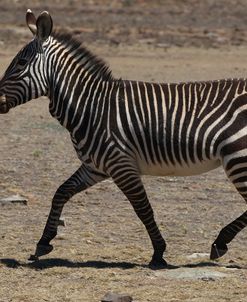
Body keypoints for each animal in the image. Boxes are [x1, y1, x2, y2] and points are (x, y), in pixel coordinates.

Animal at [0, 9, 246, 268]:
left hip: (238, 158)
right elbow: (61, 192)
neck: (91, 106)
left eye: (21, 63)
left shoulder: (121, 164)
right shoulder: (96, 166)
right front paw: (44, 241)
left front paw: (158, 252)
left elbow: (143, 209)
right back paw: (221, 242)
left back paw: (221, 241)